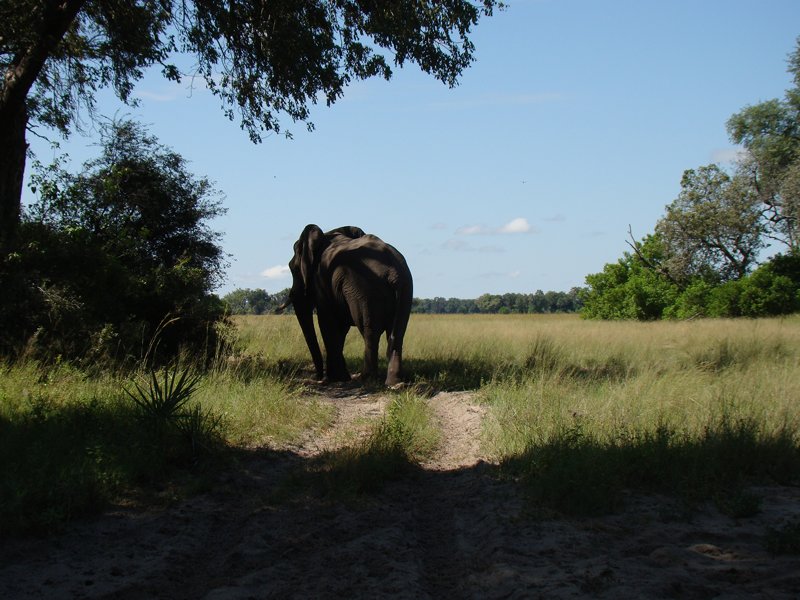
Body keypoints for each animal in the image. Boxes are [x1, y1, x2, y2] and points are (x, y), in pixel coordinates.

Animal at [282, 223, 412, 386]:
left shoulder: (321, 280)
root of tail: (394, 272)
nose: (318, 377)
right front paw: (339, 378)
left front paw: (336, 378)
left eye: (292, 269)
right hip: (405, 287)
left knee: (370, 331)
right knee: (397, 332)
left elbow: (326, 322)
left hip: (364, 289)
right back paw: (395, 383)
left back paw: (366, 379)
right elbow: (341, 327)